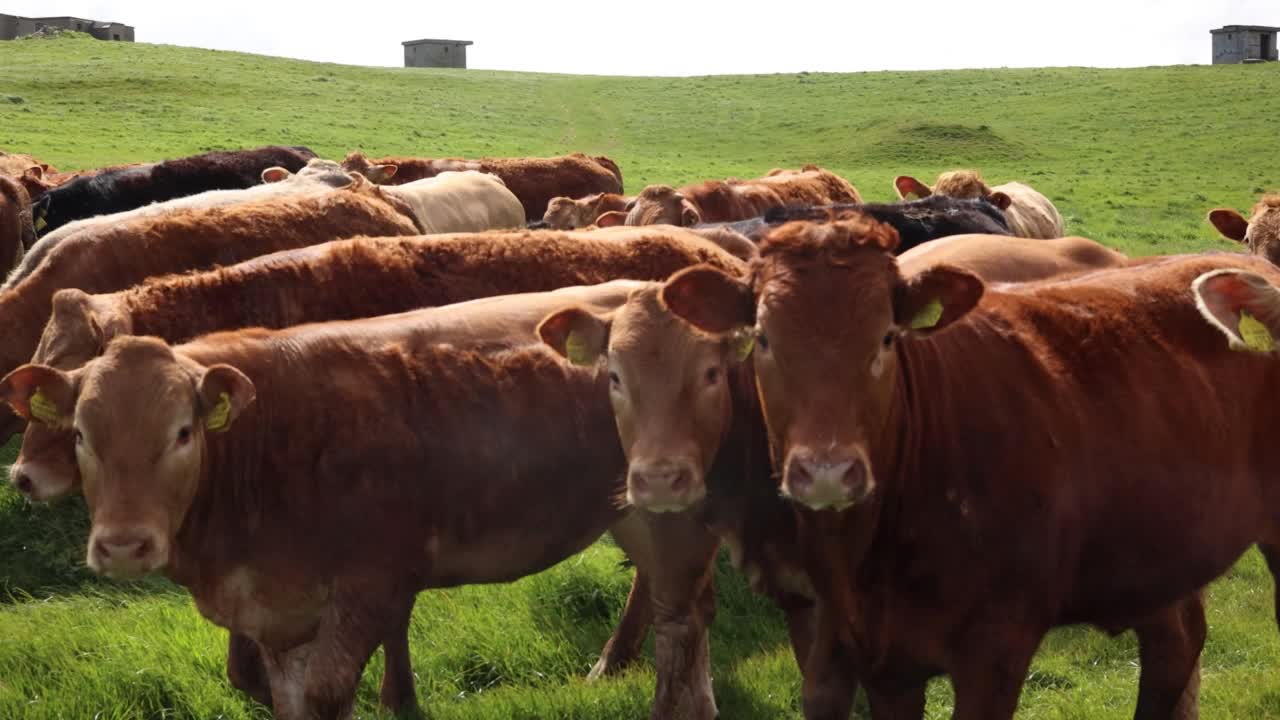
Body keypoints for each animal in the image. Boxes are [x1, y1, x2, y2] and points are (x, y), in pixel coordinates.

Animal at [655, 219, 1280, 717]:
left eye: (887, 337)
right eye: (762, 338)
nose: (828, 472)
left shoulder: (995, 652)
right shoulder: (872, 659)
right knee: (1176, 641)